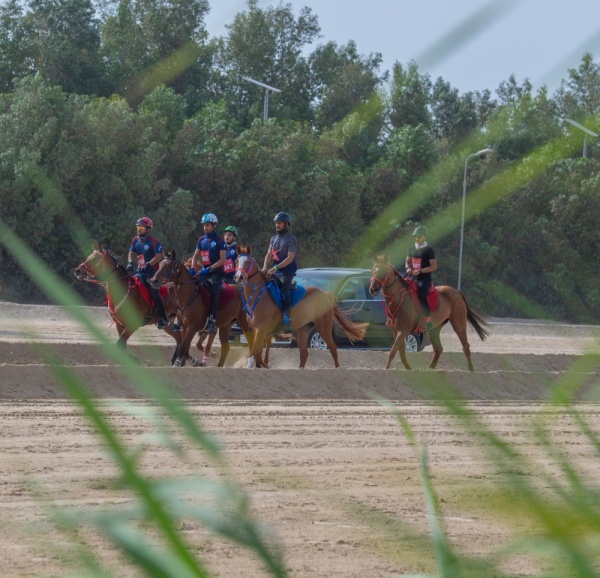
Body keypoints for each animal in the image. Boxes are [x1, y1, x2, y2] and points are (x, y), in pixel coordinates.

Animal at [233, 245, 366, 366]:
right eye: (236, 261)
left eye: (248, 262)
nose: (239, 277)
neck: (259, 295)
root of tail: (325, 294)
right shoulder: (256, 330)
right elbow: (255, 355)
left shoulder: (261, 329)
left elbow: (255, 355)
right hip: (303, 330)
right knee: (304, 354)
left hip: (323, 327)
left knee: (333, 349)